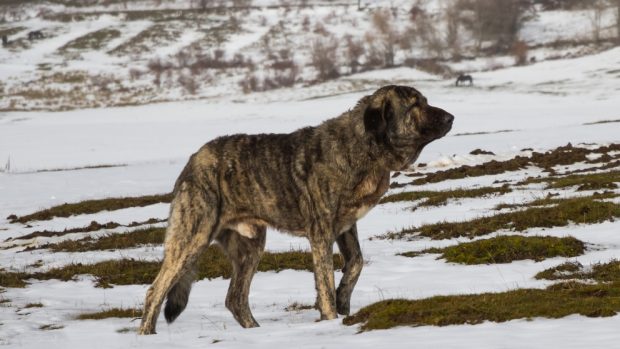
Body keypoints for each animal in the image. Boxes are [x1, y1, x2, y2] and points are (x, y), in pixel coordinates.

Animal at [138, 85, 452, 334]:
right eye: (415, 105)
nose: (451, 117)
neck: (364, 147)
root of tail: (192, 160)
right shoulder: (321, 232)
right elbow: (325, 282)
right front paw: (331, 318)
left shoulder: (346, 227)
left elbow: (356, 264)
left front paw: (343, 299)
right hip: (193, 237)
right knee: (156, 291)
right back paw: (148, 335)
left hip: (251, 245)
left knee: (235, 298)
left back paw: (256, 332)